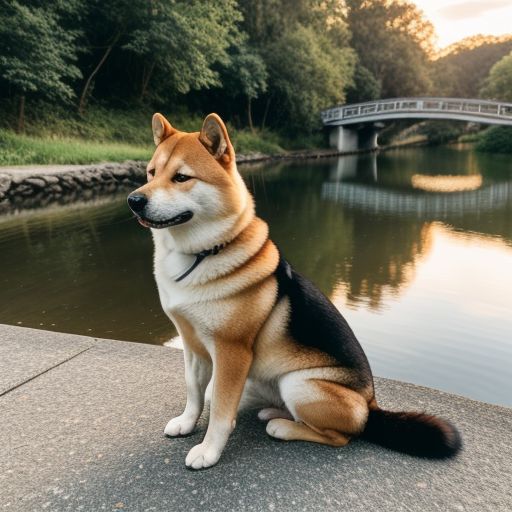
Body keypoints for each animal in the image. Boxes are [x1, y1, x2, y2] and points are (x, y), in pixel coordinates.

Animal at [126, 114, 462, 470]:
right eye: (151, 172)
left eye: (181, 177)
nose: (134, 200)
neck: (201, 254)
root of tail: (370, 406)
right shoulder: (192, 344)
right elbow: (193, 392)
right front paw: (187, 423)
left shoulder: (232, 352)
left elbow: (220, 407)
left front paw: (208, 450)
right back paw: (275, 413)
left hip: (300, 384)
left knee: (341, 436)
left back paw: (283, 427)